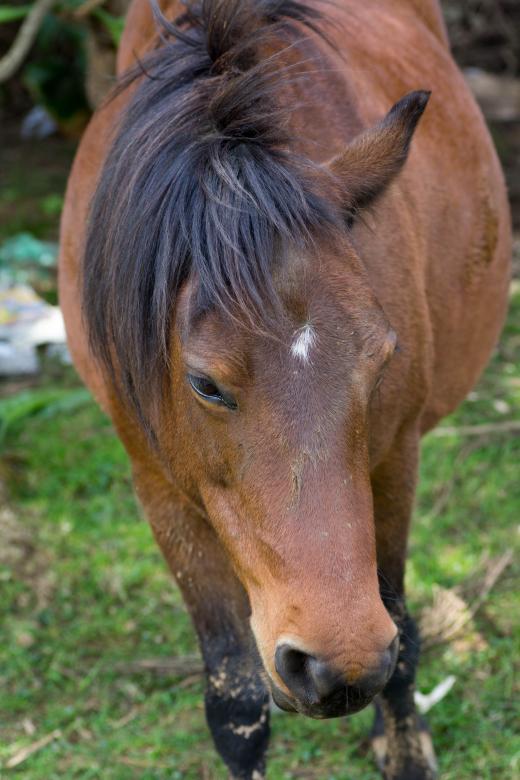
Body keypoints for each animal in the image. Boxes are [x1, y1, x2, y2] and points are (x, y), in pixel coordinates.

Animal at [58, 1, 511, 777]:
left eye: (381, 360)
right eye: (204, 384)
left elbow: (401, 625)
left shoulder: (395, 457)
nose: (338, 664)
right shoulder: (156, 485)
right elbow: (235, 702)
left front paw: (404, 744)